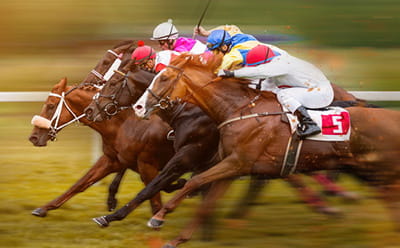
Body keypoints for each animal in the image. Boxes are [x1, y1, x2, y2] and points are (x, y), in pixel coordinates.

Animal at [134, 53, 400, 247]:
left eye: (165, 78)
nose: (138, 107)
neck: (240, 108)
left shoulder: (237, 162)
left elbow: (194, 181)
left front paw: (159, 217)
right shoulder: (231, 167)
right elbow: (208, 201)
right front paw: (178, 239)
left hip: (384, 174)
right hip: (371, 174)